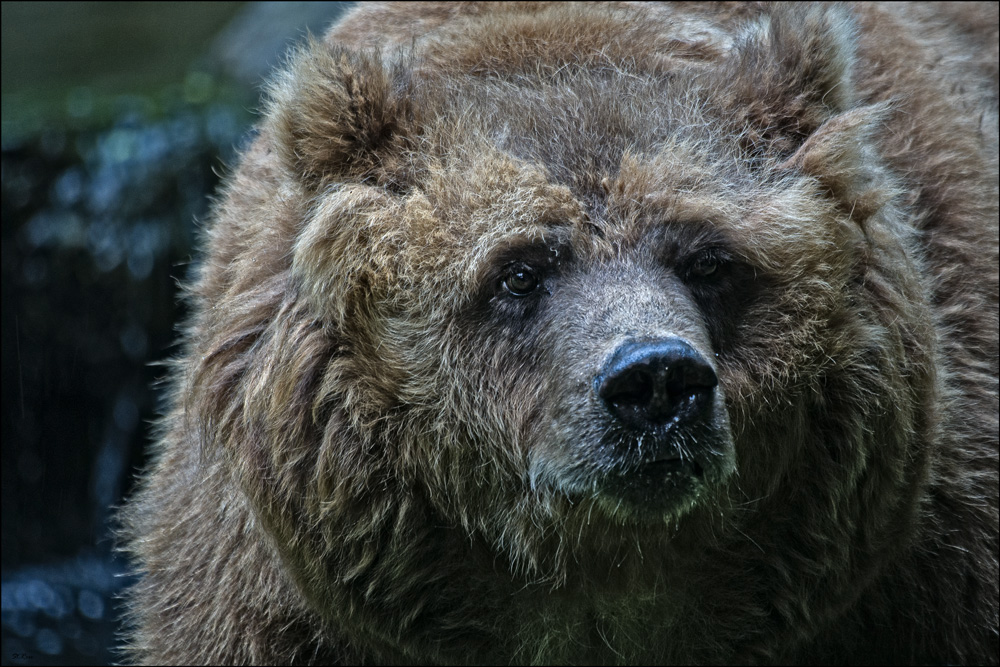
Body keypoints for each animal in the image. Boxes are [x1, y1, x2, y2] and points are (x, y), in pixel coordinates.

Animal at [121, 2, 996, 664]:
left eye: (710, 260)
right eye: (520, 270)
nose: (655, 380)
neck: (600, 582)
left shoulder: (932, 569)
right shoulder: (268, 609)